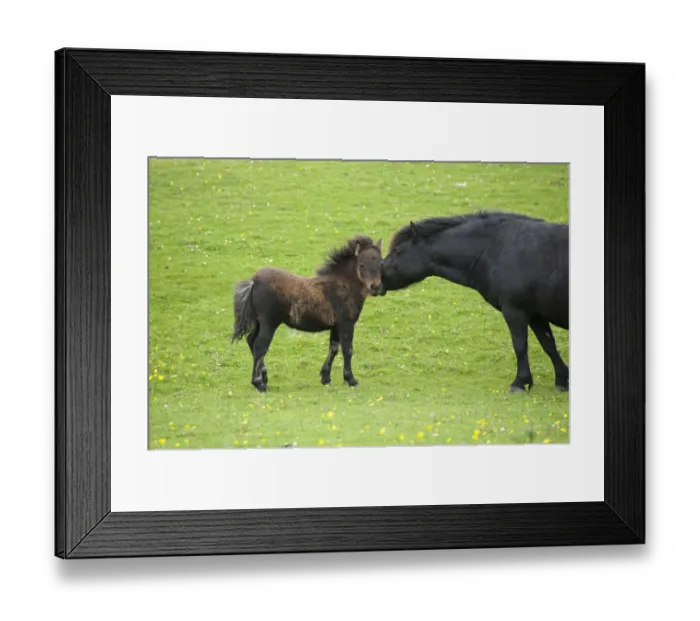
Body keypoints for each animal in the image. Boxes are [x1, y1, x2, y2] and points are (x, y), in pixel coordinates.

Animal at [231, 235, 384, 392]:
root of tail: (254, 282)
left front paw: (326, 378)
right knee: (260, 347)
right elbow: (347, 350)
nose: (376, 287)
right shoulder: (346, 324)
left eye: (380, 263)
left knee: (251, 340)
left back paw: (265, 378)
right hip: (269, 323)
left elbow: (333, 348)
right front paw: (351, 380)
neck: (342, 285)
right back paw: (259, 383)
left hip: (258, 322)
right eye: (361, 265)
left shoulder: (335, 326)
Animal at [379, 211, 569, 393]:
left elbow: (520, 345)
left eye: (398, 251)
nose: (377, 278)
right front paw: (562, 380)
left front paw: (520, 382)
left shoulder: (515, 311)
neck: (496, 248)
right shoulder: (536, 315)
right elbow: (549, 345)